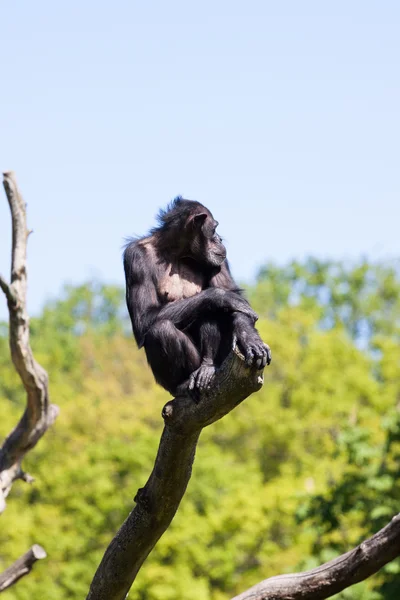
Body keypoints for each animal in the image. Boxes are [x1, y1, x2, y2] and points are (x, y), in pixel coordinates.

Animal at [123, 197, 270, 398]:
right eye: (214, 229)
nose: (219, 239)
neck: (175, 251)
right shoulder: (134, 258)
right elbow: (144, 317)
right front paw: (222, 296)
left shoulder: (219, 260)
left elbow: (234, 296)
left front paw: (248, 336)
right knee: (162, 329)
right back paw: (182, 384)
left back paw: (208, 366)